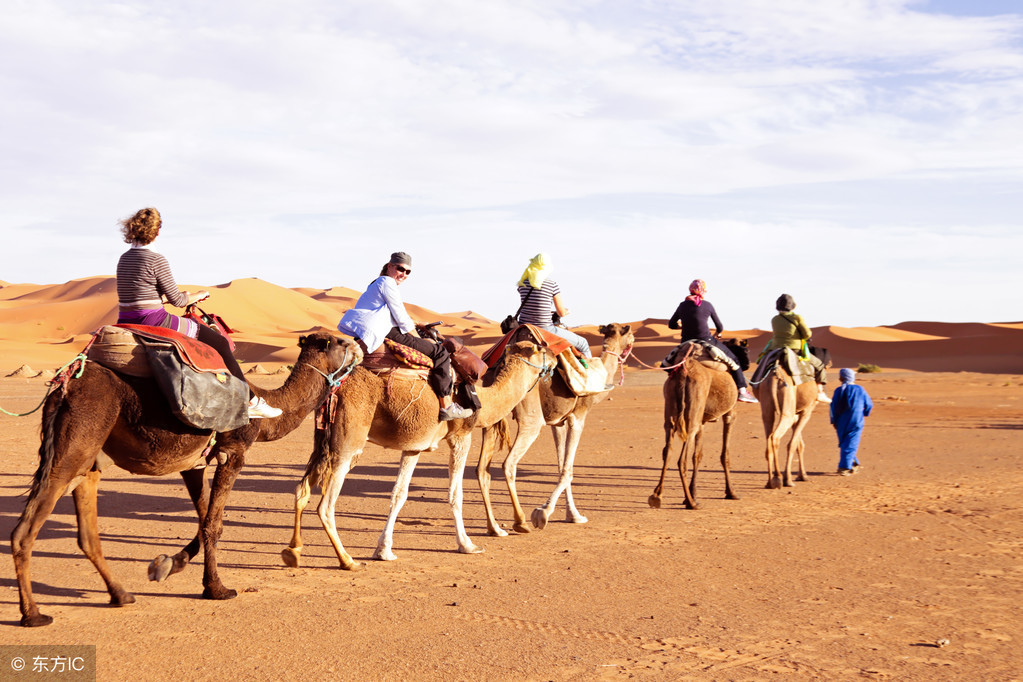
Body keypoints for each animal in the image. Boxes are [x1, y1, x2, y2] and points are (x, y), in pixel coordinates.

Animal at [9, 331, 362, 629]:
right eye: (339, 342)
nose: (359, 346)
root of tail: (64, 385)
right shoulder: (233, 453)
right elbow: (214, 524)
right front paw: (217, 588)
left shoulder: (193, 464)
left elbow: (205, 519)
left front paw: (167, 564)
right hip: (75, 444)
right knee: (26, 530)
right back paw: (33, 614)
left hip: (89, 459)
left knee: (87, 532)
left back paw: (120, 594)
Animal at [282, 339, 560, 568]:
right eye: (541, 348)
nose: (557, 358)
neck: (483, 399)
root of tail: (336, 387)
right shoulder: (461, 436)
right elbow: (455, 494)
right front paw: (467, 544)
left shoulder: (414, 446)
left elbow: (399, 494)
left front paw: (384, 550)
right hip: (348, 442)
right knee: (326, 505)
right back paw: (347, 560)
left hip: (323, 441)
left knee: (301, 489)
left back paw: (293, 551)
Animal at [476, 323, 634, 535]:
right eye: (629, 333)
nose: (633, 341)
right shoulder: (578, 416)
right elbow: (568, 469)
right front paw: (543, 513)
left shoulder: (558, 422)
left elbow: (561, 465)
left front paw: (573, 515)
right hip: (531, 417)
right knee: (509, 463)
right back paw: (520, 522)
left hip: (493, 415)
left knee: (482, 469)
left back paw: (494, 528)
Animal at [646, 339, 752, 509]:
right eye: (746, 350)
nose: (748, 364)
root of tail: (684, 370)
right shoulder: (730, 413)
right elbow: (725, 454)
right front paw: (731, 492)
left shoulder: (702, 421)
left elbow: (697, 455)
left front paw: (693, 493)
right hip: (692, 414)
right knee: (681, 459)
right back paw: (691, 504)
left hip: (672, 408)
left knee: (668, 450)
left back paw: (657, 496)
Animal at [752, 349, 830, 488]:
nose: (830, 363)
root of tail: (776, 374)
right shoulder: (806, 411)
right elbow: (793, 444)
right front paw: (789, 479)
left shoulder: (796, 414)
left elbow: (800, 444)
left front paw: (802, 475)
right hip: (787, 408)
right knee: (775, 437)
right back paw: (778, 478)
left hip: (767, 407)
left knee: (768, 438)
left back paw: (769, 482)